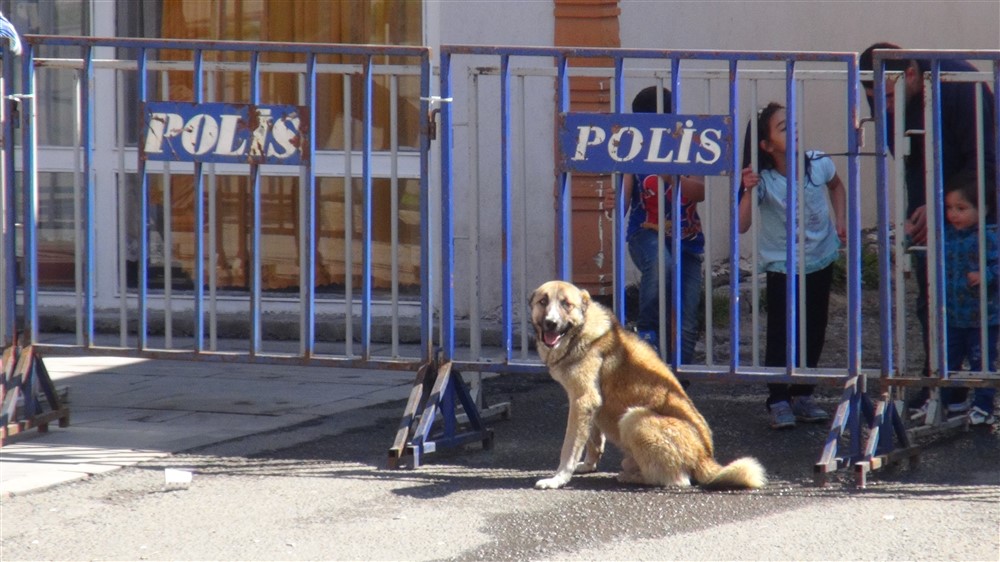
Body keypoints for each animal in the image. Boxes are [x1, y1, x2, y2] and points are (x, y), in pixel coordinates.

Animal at [532, 280, 764, 490]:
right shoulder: (589, 407)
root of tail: (704, 457)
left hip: (634, 418)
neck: (580, 332)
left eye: (566, 304)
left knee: (679, 480)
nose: (551, 323)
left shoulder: (582, 402)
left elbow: (569, 447)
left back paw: (631, 477)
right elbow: (593, 441)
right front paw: (589, 466)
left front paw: (558, 479)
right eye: (543, 301)